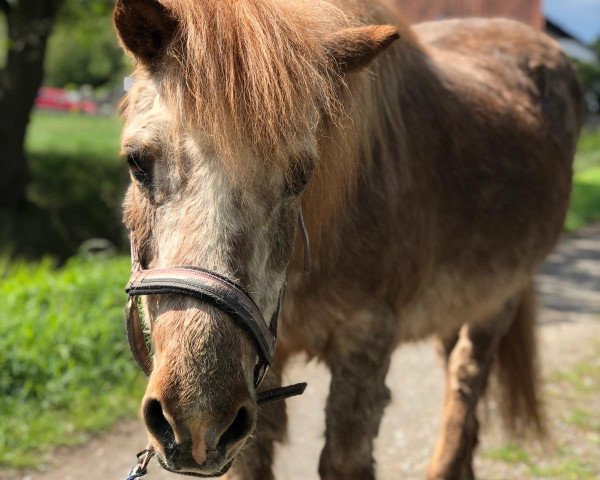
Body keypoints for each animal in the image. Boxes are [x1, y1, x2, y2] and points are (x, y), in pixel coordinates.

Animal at [112, 1, 580, 478]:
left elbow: (344, 457)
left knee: (466, 381)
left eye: (302, 175)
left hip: (497, 301)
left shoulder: (366, 339)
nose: (197, 417)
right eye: (136, 162)